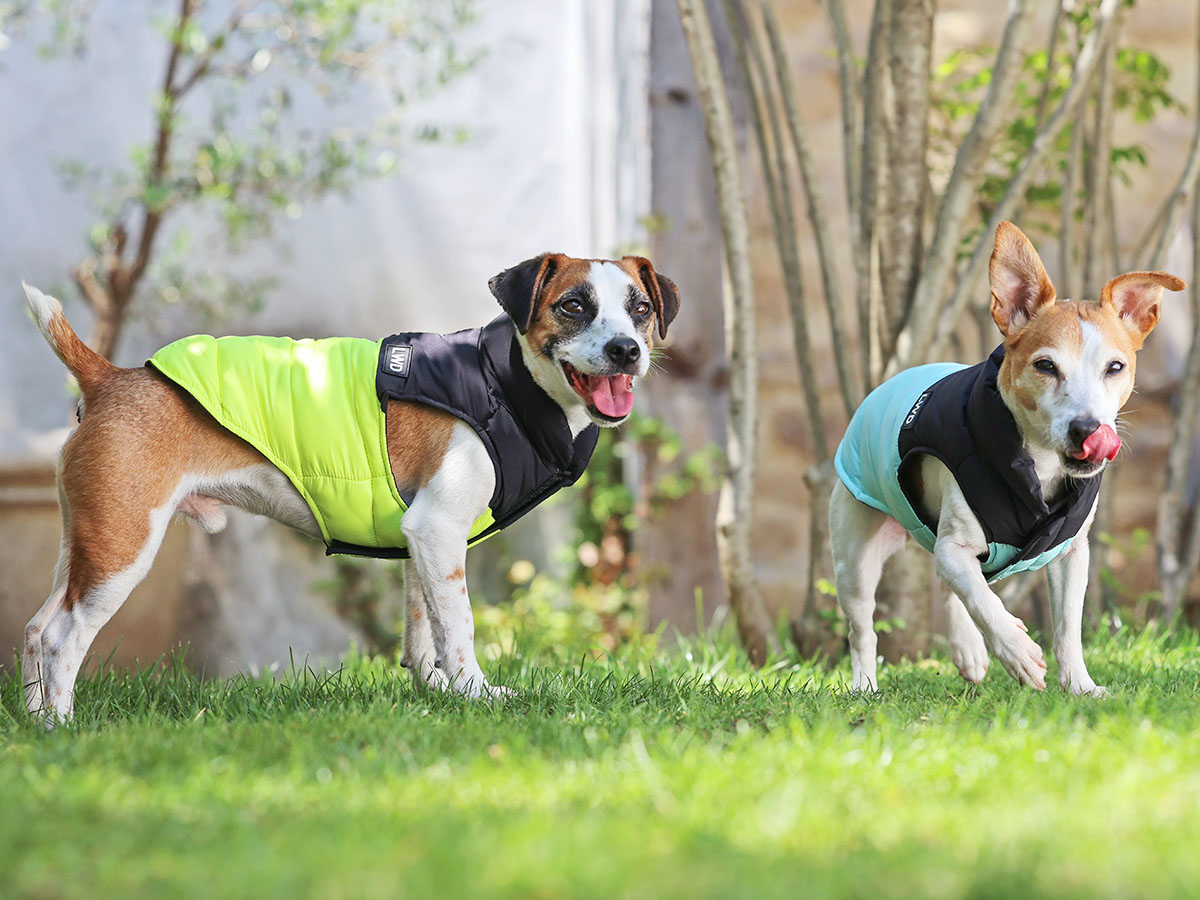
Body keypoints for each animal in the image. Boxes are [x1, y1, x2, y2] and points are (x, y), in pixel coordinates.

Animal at [18, 254, 681, 724]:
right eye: (573, 305)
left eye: (641, 308)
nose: (627, 350)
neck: (502, 382)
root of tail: (111, 378)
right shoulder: (439, 531)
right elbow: (459, 628)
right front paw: (475, 693)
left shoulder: (422, 543)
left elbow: (424, 632)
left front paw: (436, 694)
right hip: (123, 550)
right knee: (61, 637)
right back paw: (62, 728)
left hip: (85, 548)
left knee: (33, 627)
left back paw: (30, 722)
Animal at [830, 224, 1185, 696]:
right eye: (1045, 366)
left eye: (1115, 367)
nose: (1087, 429)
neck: (1037, 467)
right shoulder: (954, 547)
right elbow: (983, 600)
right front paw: (1017, 653)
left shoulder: (1072, 553)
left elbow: (1067, 626)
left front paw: (1080, 686)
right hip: (854, 556)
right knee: (864, 627)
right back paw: (865, 686)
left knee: (950, 587)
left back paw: (968, 651)